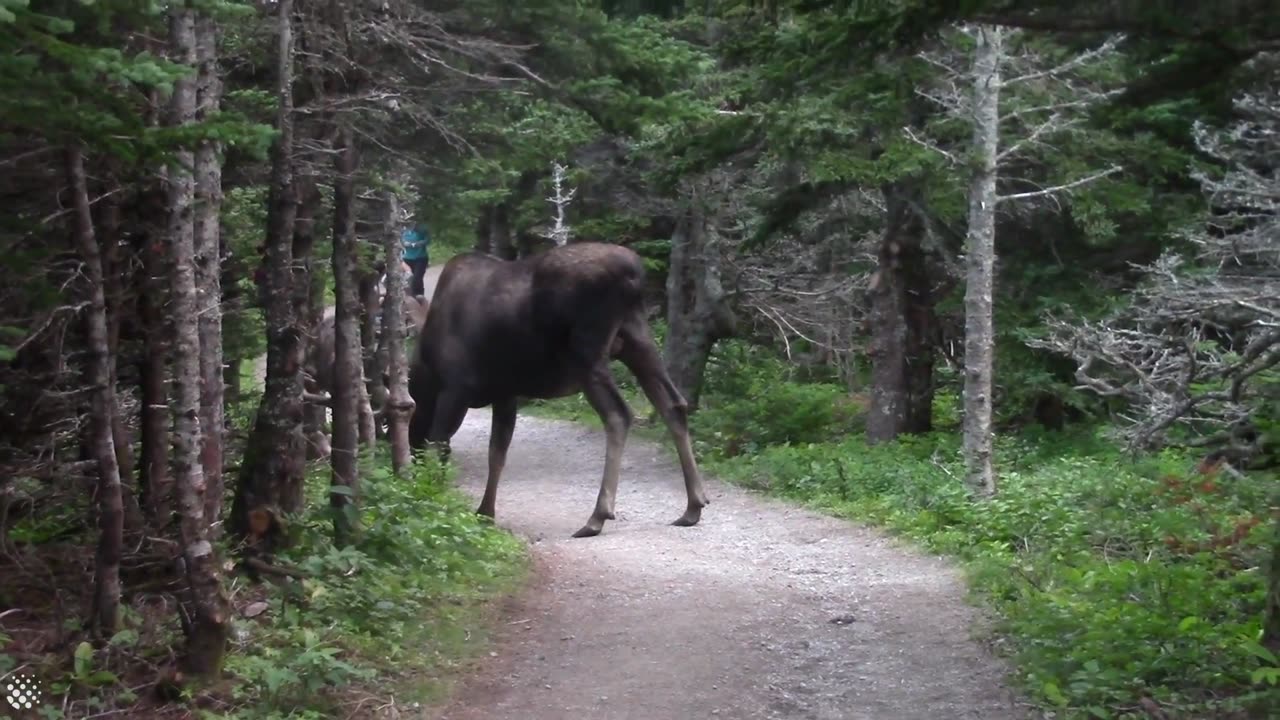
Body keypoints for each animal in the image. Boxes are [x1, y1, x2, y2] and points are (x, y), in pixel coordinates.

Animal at [409, 240, 711, 532]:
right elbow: (496, 453)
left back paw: (598, 515)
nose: (411, 460)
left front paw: (437, 500)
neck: (426, 374)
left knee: (618, 414)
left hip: (587, 353)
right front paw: (485, 512)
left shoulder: (455, 388)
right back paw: (693, 505)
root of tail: (634, 272)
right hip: (636, 338)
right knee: (673, 403)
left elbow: (438, 443)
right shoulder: (505, 393)